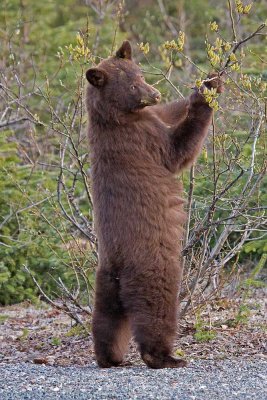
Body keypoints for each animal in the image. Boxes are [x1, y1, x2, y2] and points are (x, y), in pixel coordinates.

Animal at [86, 40, 224, 368]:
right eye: (133, 84)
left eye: (140, 73)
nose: (155, 93)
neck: (115, 117)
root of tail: (120, 265)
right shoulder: (142, 138)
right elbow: (177, 150)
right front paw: (203, 98)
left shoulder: (148, 117)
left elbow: (166, 113)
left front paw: (208, 82)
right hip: (152, 267)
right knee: (155, 308)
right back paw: (165, 356)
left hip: (106, 280)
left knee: (107, 318)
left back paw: (110, 357)